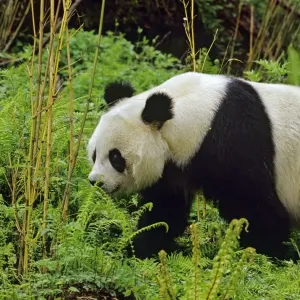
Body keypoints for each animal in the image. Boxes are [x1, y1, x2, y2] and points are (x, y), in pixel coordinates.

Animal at [86, 71, 300, 258]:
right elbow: (166, 211)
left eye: (116, 158)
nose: (96, 181)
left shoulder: (237, 142)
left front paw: (270, 253)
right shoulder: (175, 166)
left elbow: (256, 207)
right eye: (95, 154)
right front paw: (137, 248)